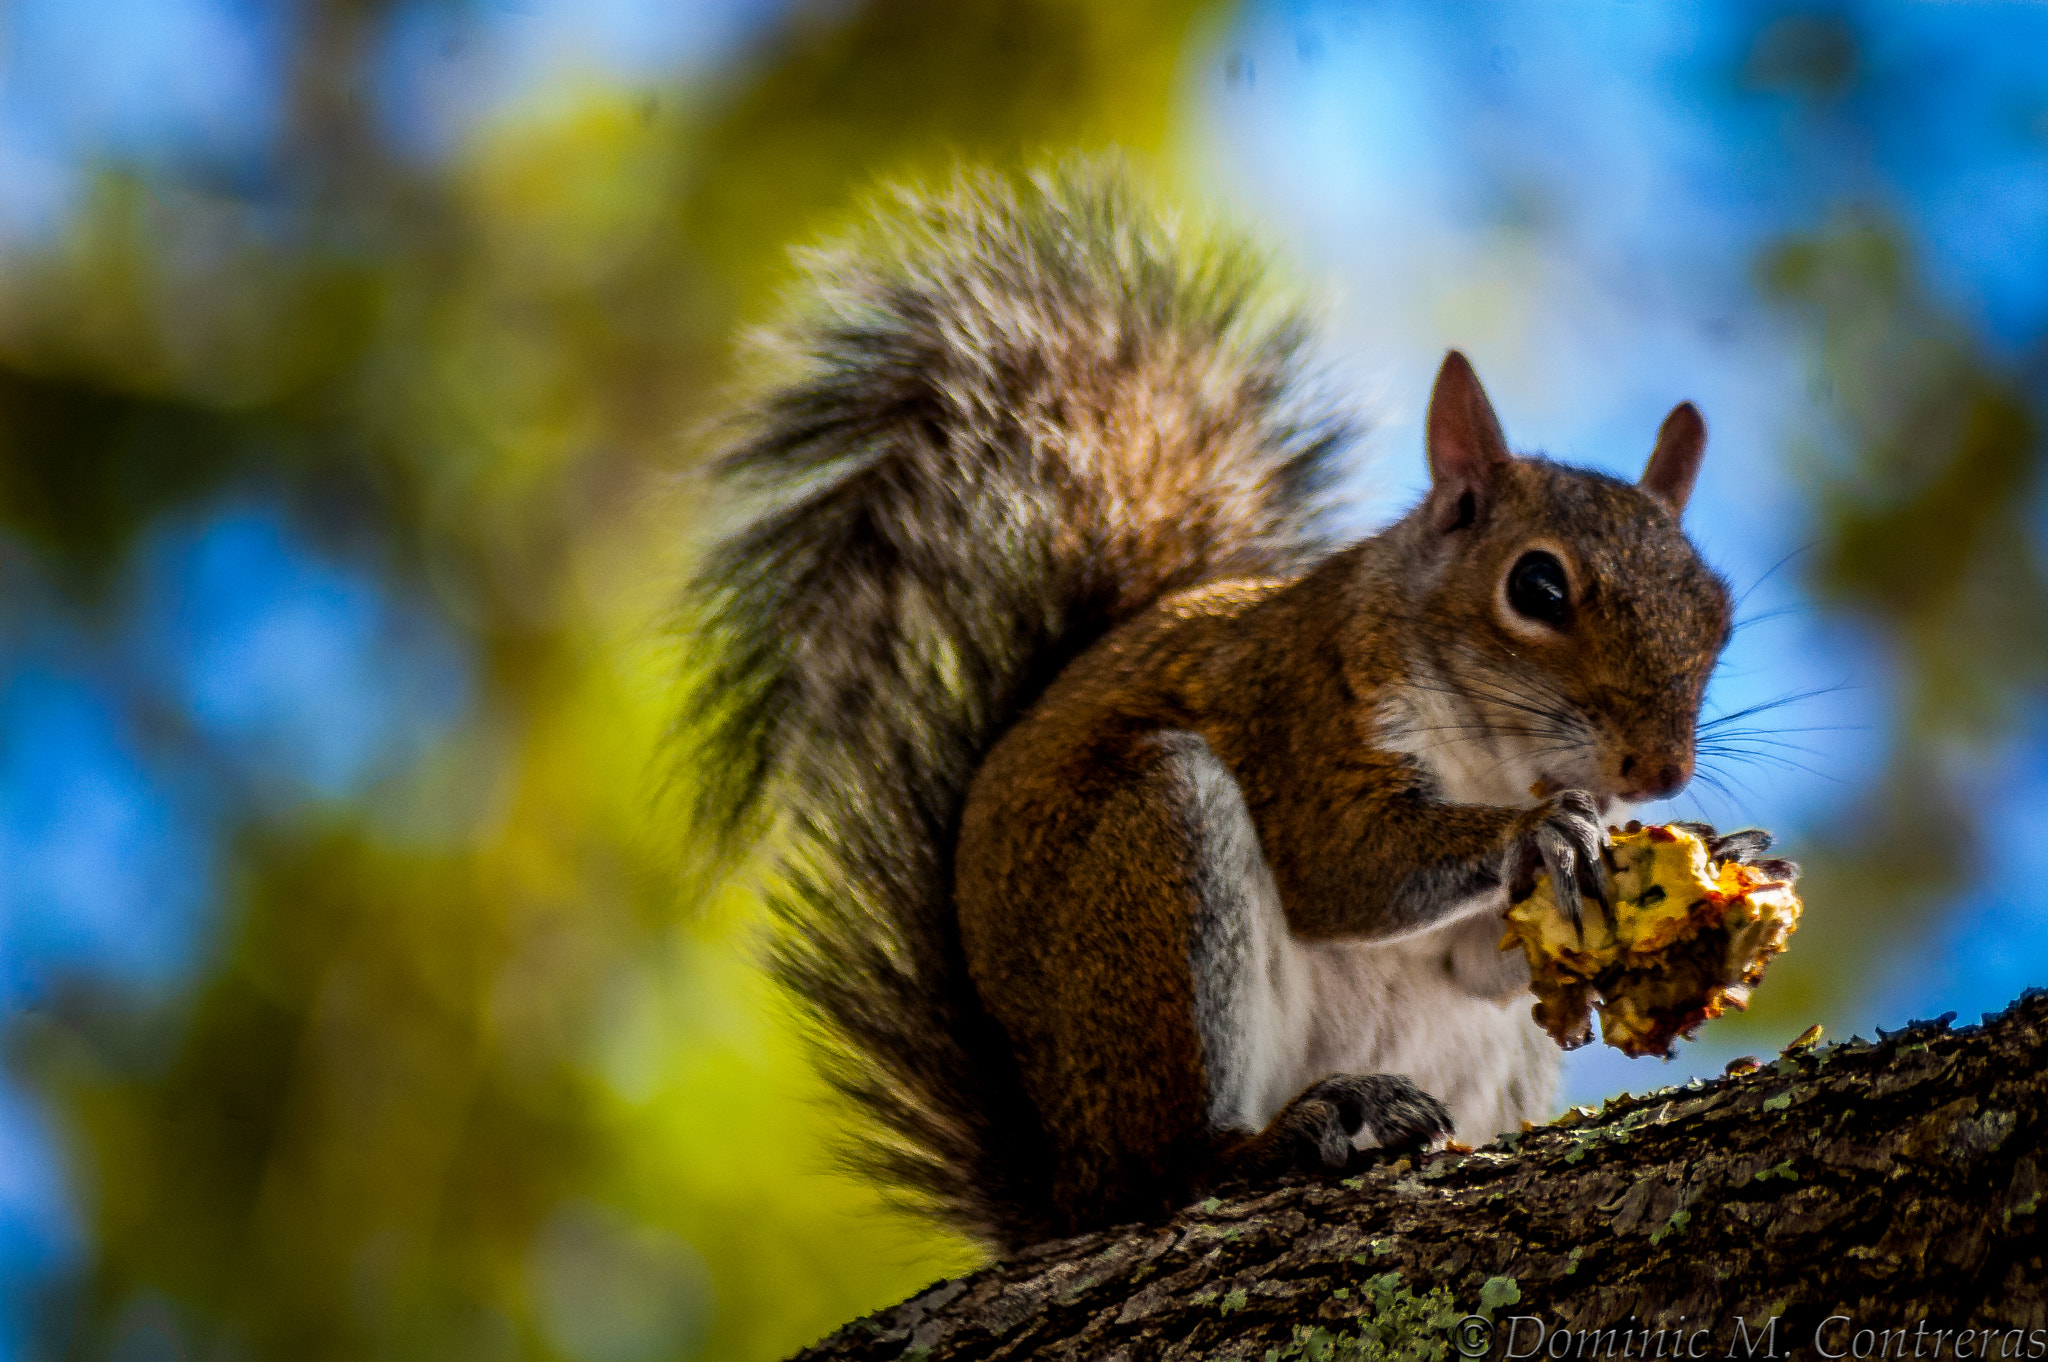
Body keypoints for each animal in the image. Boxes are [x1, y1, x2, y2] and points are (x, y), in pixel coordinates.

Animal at [684, 164, 1777, 1245]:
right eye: (1538, 587)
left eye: (1718, 611)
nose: (1660, 770)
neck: (1493, 756)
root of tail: (1063, 1185)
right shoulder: (1301, 706)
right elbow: (1336, 866)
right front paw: (1538, 834)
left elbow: (1485, 962)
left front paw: (1731, 855)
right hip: (1150, 871)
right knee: (1165, 1171)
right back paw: (1274, 1140)